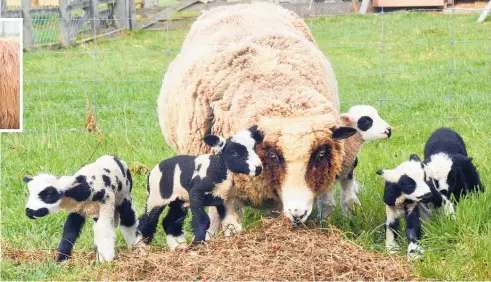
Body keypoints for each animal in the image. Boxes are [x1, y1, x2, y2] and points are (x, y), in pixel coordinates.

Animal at [135, 124, 266, 248]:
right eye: (234, 153)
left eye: (254, 148)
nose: (258, 168)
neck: (218, 169)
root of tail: (152, 172)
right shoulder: (196, 193)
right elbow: (202, 220)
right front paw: (198, 243)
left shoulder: (224, 198)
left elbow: (229, 220)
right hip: (156, 197)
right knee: (147, 221)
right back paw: (141, 246)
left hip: (179, 201)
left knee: (170, 221)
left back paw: (178, 246)